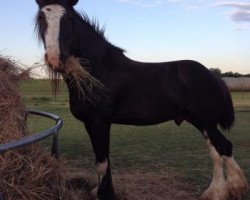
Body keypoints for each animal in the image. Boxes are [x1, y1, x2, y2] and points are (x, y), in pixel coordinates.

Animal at [35, 0, 248, 199]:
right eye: (41, 18)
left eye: (69, 19)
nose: (55, 59)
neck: (100, 70)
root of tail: (215, 77)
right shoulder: (90, 123)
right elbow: (101, 158)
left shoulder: (100, 122)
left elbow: (102, 161)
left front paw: (106, 194)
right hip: (200, 122)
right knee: (216, 152)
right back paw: (217, 191)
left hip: (206, 123)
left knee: (223, 148)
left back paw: (229, 189)